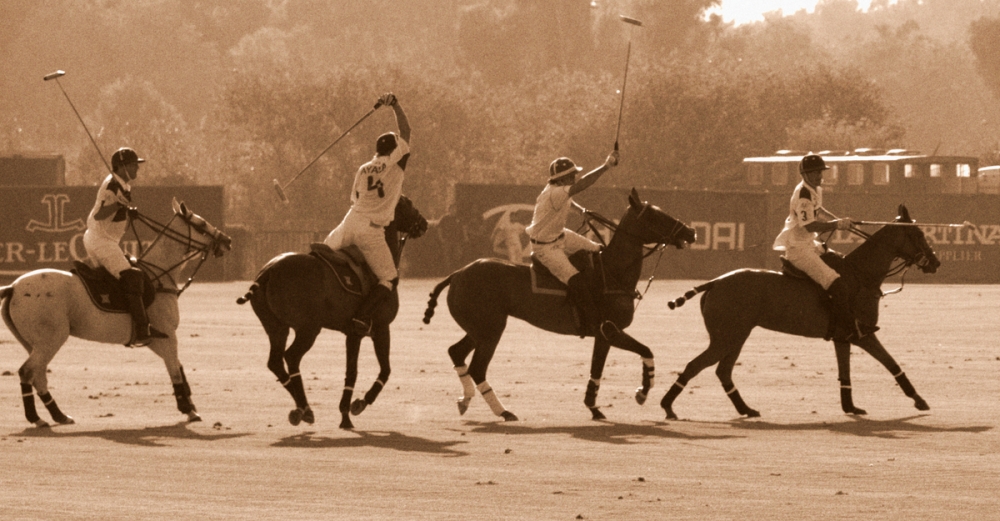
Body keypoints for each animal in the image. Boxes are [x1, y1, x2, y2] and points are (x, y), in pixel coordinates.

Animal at [0, 199, 230, 426]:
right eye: (201, 224)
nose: (226, 240)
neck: (159, 276)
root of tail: (13, 287)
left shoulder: (156, 339)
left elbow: (178, 367)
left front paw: (190, 406)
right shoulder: (166, 335)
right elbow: (175, 370)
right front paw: (188, 410)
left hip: (33, 342)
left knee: (38, 375)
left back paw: (59, 415)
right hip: (52, 338)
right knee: (27, 371)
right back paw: (35, 417)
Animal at [237, 194, 426, 426]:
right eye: (407, 204)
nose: (424, 223)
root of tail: (268, 272)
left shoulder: (353, 334)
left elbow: (352, 371)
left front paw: (345, 413)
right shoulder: (381, 328)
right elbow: (384, 370)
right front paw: (358, 404)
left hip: (276, 328)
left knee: (275, 362)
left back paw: (302, 409)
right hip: (308, 328)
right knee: (291, 357)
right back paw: (305, 409)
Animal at [422, 189, 696, 420]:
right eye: (656, 215)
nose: (691, 232)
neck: (612, 271)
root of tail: (456, 274)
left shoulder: (603, 336)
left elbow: (597, 370)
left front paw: (594, 408)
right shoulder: (611, 330)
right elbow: (645, 351)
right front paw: (641, 392)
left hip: (479, 327)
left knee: (456, 352)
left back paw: (465, 400)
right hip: (491, 328)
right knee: (478, 368)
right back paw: (503, 411)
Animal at [664, 203, 936, 418]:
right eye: (918, 233)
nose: (936, 262)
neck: (861, 277)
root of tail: (714, 282)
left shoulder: (843, 337)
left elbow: (846, 373)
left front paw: (850, 407)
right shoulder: (863, 334)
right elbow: (891, 363)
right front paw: (920, 400)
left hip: (736, 336)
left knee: (723, 371)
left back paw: (746, 409)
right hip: (726, 336)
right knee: (696, 365)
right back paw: (668, 406)